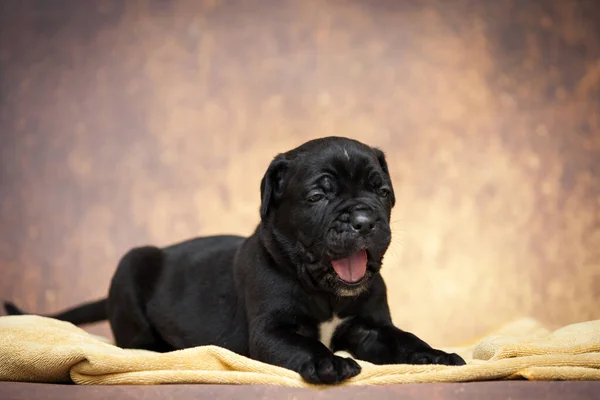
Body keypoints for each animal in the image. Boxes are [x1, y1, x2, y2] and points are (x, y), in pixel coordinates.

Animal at [3, 138, 464, 384]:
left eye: (382, 192)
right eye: (319, 195)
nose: (365, 220)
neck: (325, 292)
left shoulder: (371, 327)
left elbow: (404, 339)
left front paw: (436, 356)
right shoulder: (271, 333)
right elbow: (306, 343)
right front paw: (329, 362)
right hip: (131, 267)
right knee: (136, 340)